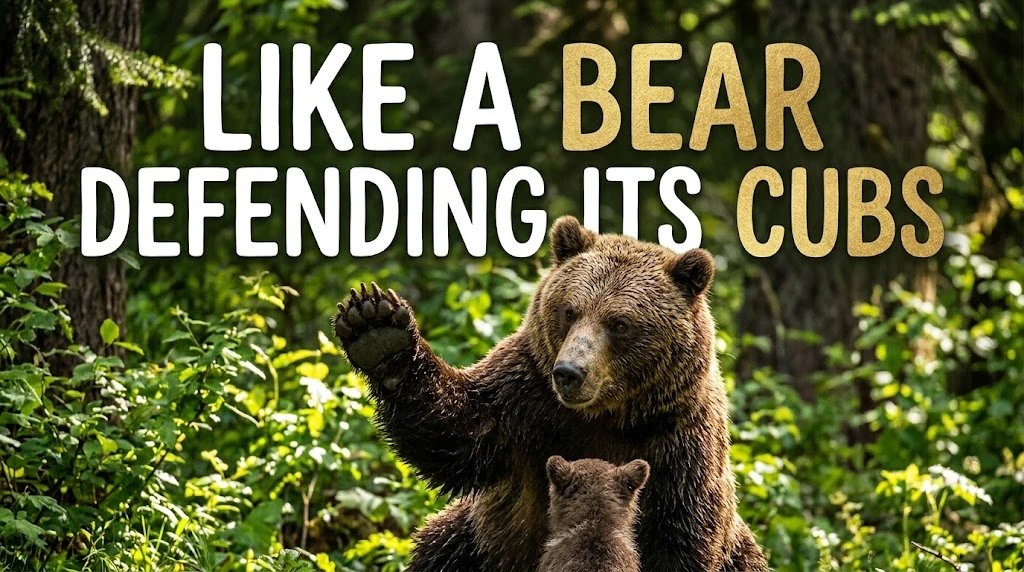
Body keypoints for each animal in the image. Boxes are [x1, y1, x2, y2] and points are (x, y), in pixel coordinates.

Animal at [332, 215, 768, 572]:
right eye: (570, 310)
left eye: (620, 323)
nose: (569, 373)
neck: (607, 415)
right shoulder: (525, 398)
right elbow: (457, 432)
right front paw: (378, 330)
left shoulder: (678, 445)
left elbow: (680, 537)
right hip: (479, 541)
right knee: (439, 546)